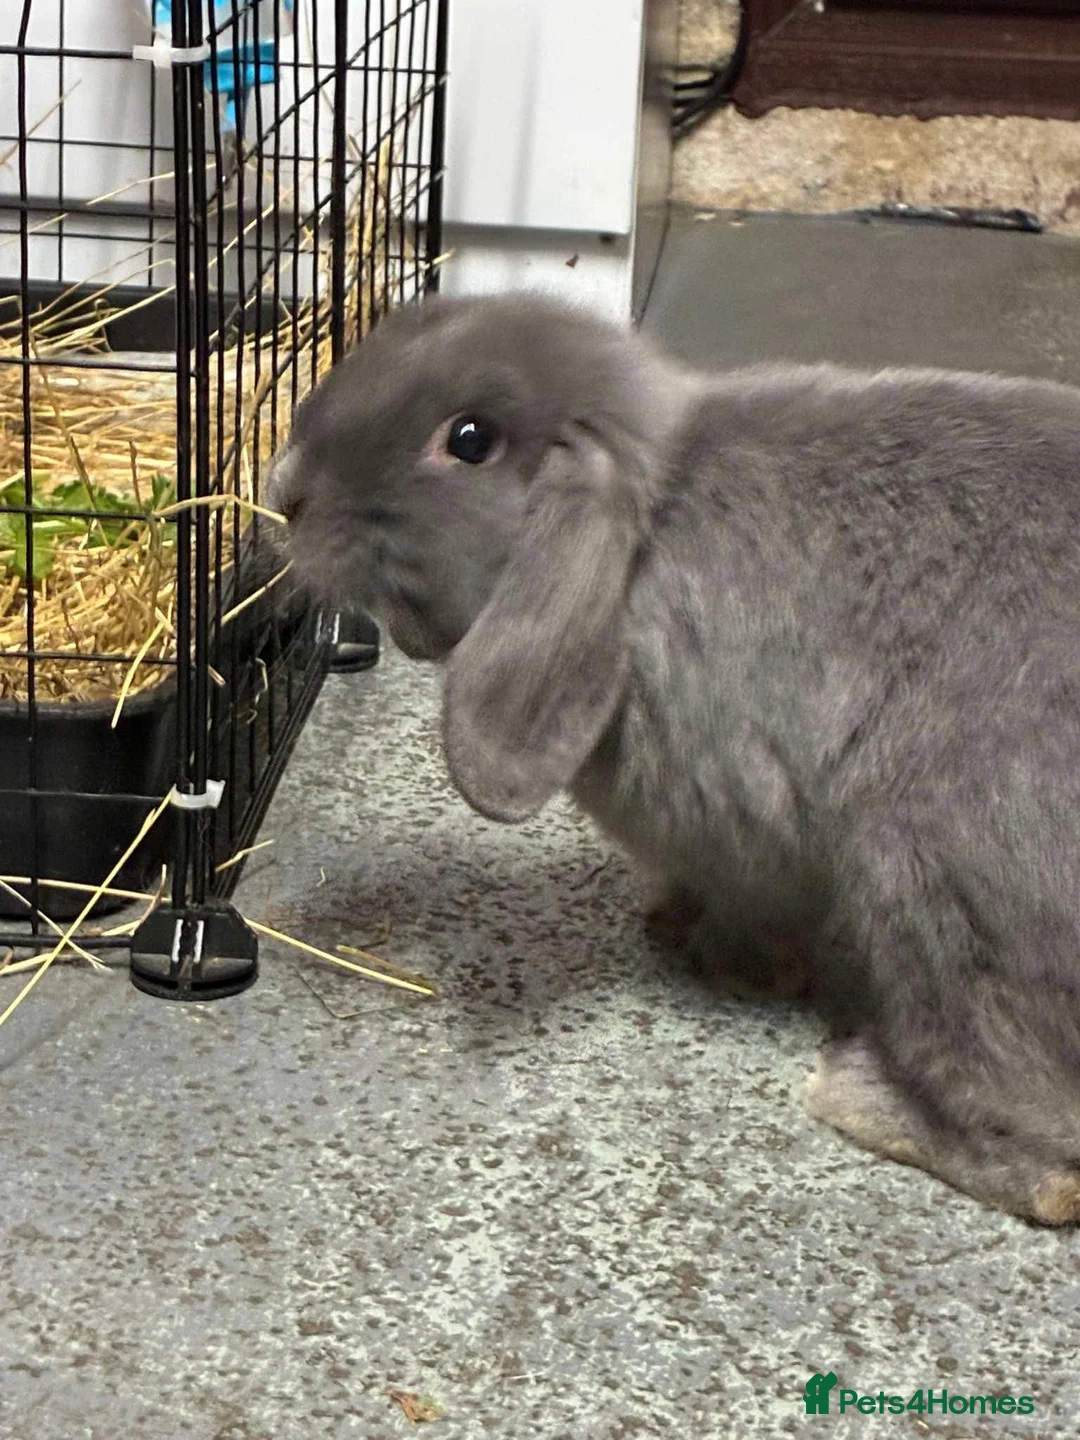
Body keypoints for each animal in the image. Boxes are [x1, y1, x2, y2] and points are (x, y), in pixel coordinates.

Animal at [267, 291, 1080, 1225]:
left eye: (469, 439)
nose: (285, 491)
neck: (648, 541)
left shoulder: (738, 829)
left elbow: (749, 910)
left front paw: (730, 963)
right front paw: (668, 921)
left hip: (938, 895)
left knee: (1043, 1158)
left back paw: (856, 1094)